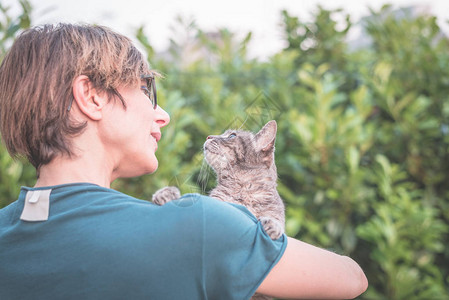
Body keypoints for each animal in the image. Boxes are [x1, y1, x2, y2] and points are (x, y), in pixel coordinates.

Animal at [150, 120, 284, 300]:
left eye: (232, 135)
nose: (208, 136)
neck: (242, 189)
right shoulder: (216, 202)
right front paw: (166, 194)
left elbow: (277, 219)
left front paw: (272, 225)